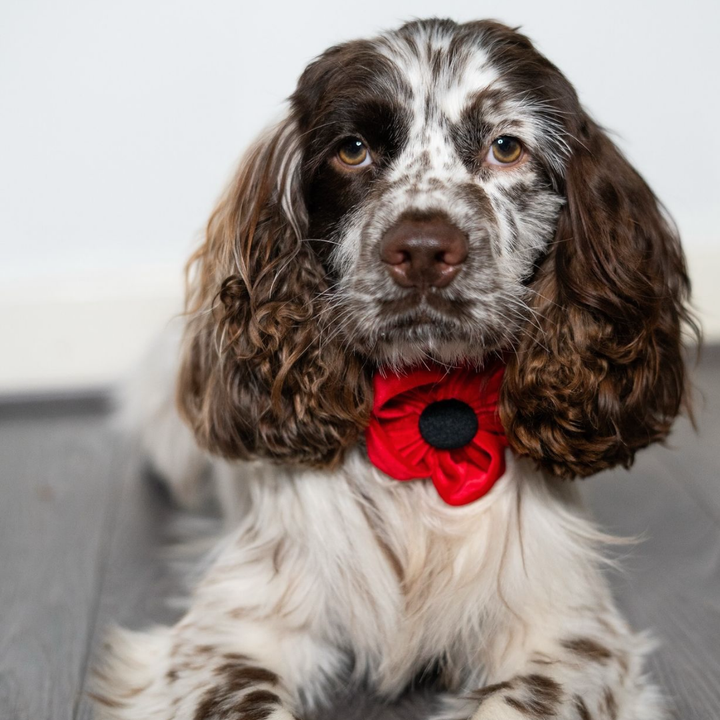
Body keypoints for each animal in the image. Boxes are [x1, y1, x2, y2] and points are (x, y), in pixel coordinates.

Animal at [93, 15, 696, 720]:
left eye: (507, 147)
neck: (433, 409)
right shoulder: (235, 626)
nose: (424, 249)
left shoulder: (569, 631)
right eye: (352, 149)